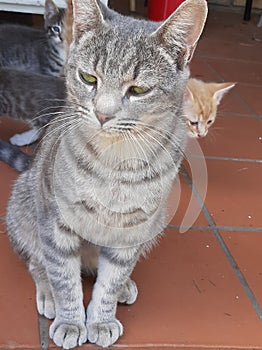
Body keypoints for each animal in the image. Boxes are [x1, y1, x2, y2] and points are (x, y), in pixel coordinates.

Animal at [5, 1, 207, 348]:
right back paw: (47, 293)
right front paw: (70, 320)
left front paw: (101, 317)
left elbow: (111, 279)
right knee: (36, 260)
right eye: (88, 78)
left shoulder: (133, 227)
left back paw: (123, 286)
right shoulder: (57, 223)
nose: (102, 113)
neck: (114, 163)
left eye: (138, 89)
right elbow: (63, 276)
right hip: (25, 205)